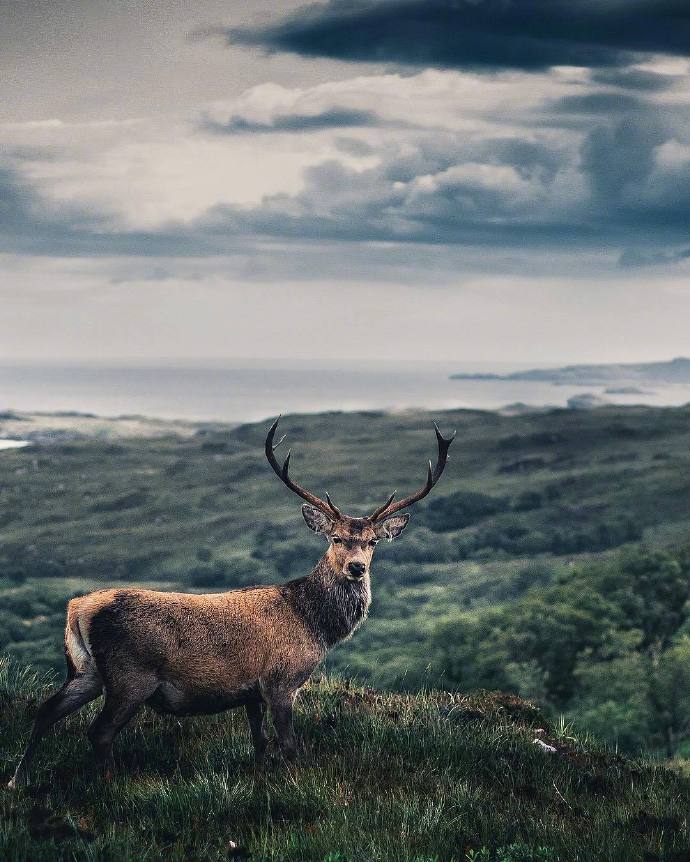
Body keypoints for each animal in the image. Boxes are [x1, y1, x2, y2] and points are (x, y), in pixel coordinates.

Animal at [8, 418, 454, 788]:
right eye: (336, 538)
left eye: (373, 541)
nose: (357, 568)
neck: (314, 624)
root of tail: (78, 609)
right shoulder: (281, 681)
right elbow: (289, 747)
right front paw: (297, 786)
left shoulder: (250, 693)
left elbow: (259, 745)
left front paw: (260, 782)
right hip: (130, 674)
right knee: (98, 731)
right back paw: (109, 784)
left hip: (85, 670)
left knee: (46, 710)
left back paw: (18, 779)